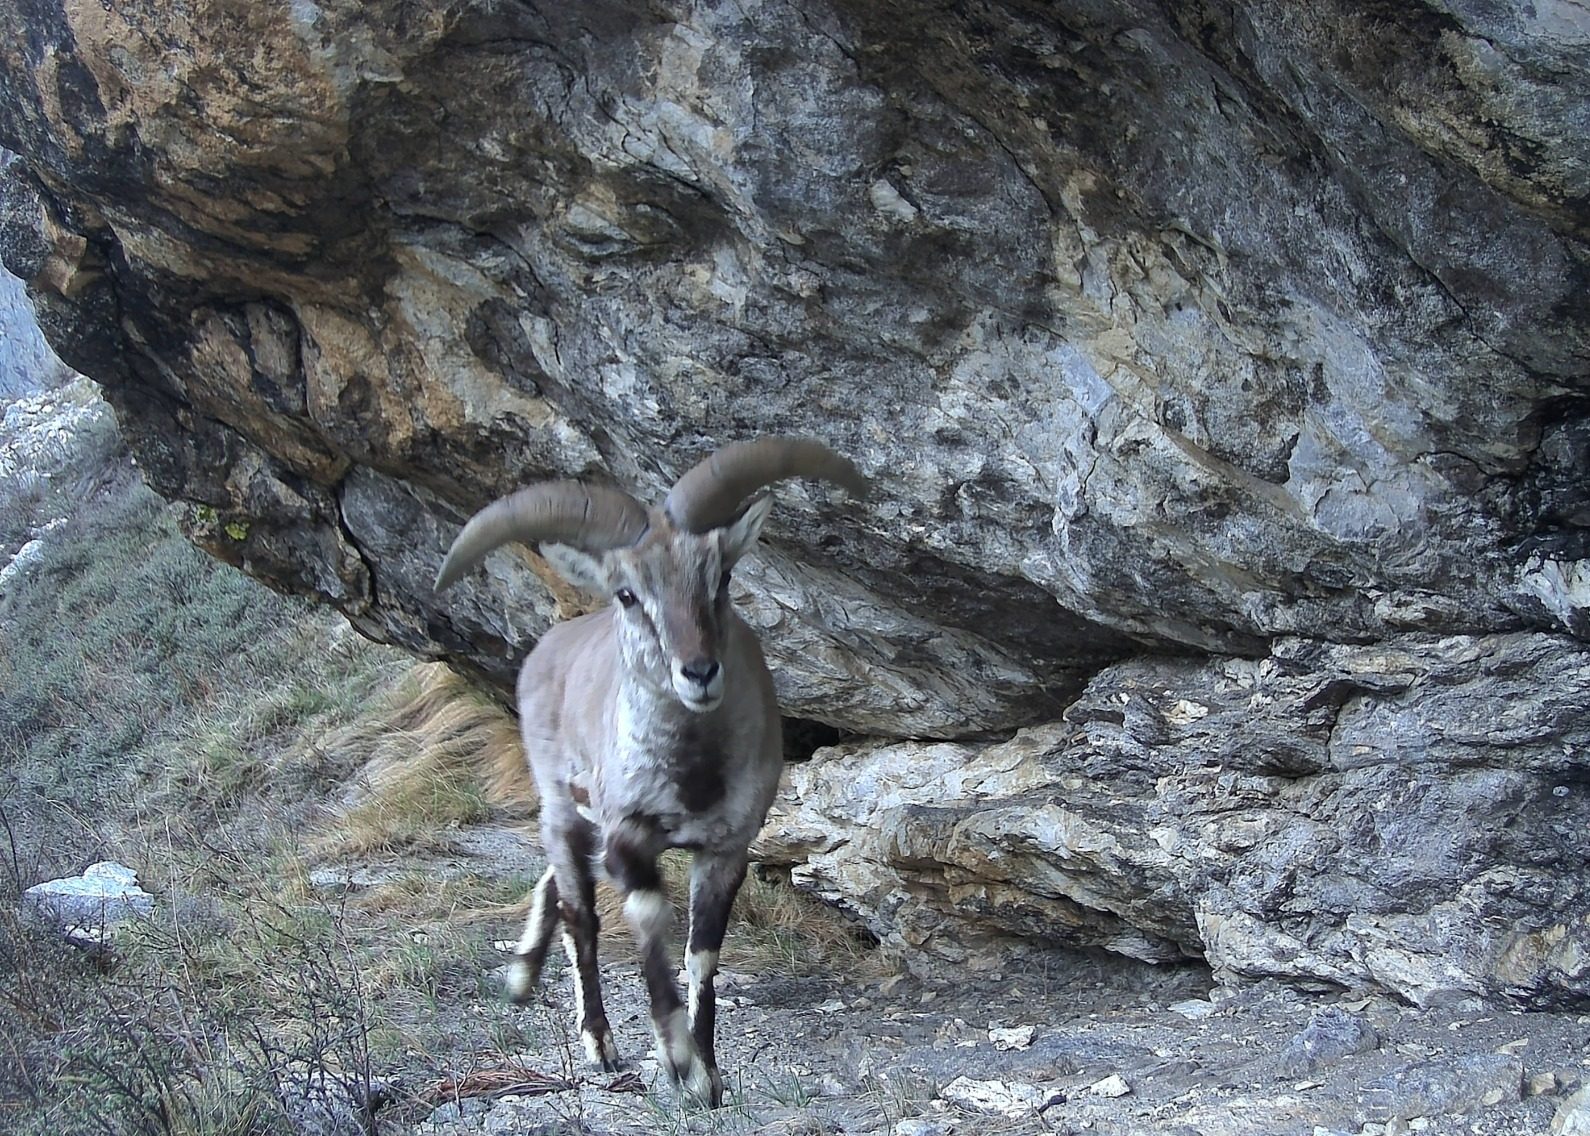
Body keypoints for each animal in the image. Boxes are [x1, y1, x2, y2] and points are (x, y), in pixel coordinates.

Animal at [433, 436, 867, 1107]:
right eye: (628, 593)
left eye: (722, 576)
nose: (699, 671)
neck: (692, 775)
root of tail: (547, 648)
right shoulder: (628, 836)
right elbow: (646, 927)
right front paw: (677, 1060)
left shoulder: (726, 847)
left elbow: (702, 954)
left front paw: (708, 1076)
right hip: (561, 802)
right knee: (578, 912)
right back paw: (598, 1042)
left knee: (555, 885)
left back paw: (522, 975)